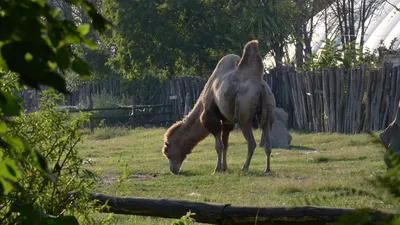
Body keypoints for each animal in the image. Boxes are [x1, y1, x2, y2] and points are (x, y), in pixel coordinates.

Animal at [162, 40, 276, 174]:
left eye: (167, 152)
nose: (173, 170)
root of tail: (260, 85)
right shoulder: (227, 122)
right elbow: (225, 144)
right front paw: (224, 168)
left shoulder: (211, 118)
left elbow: (218, 146)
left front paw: (217, 169)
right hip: (269, 109)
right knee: (268, 140)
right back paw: (267, 169)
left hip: (244, 113)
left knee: (251, 142)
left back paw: (244, 168)